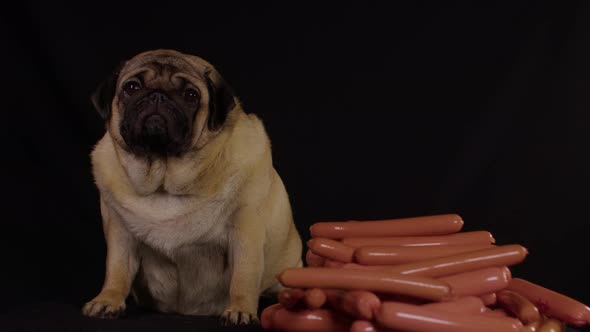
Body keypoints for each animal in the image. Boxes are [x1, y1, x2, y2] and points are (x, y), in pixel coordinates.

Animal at [82, 49, 306, 324]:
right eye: (132, 87)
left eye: (191, 95)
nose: (158, 96)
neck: (164, 179)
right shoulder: (119, 231)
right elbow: (116, 270)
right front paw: (107, 301)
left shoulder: (245, 228)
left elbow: (244, 275)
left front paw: (240, 309)